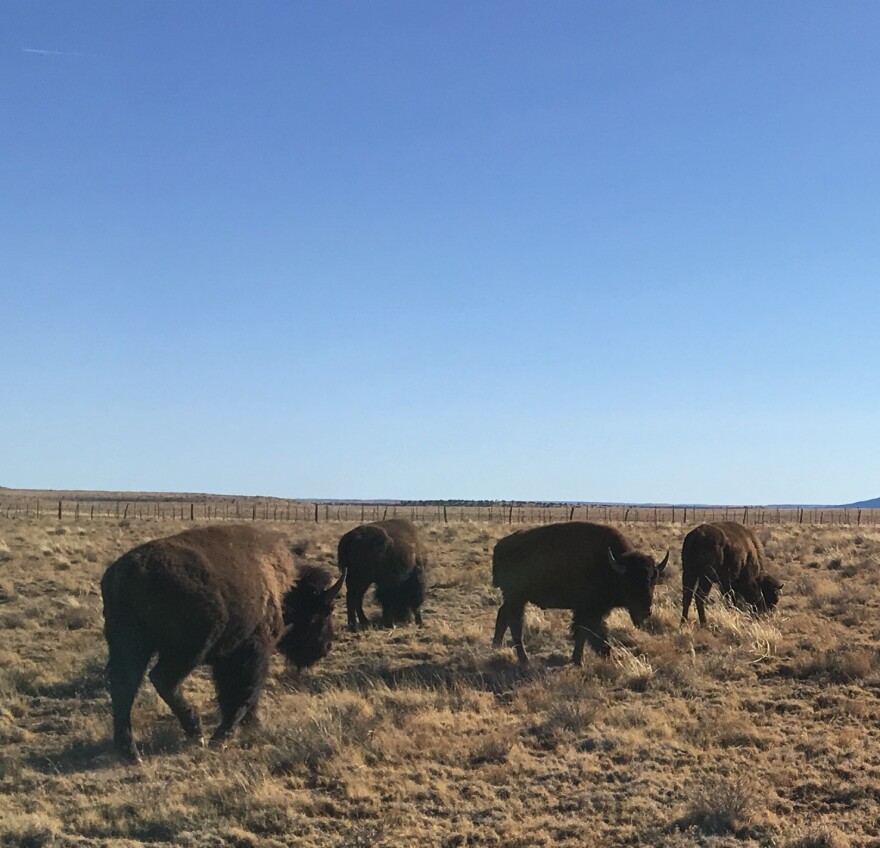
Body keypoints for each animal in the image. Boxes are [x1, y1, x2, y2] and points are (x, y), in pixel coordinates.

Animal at [98, 524, 342, 760]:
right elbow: (244, 693)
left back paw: (130, 751)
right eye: (325, 610)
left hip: (130, 646)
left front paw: (250, 725)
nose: (326, 647)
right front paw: (223, 735)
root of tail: (128, 574)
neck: (282, 586)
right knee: (161, 679)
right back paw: (196, 733)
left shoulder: (226, 658)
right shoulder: (253, 652)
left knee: (124, 687)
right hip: (186, 651)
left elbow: (230, 694)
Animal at [488, 524, 668, 664]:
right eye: (629, 584)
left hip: (514, 598)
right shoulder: (588, 611)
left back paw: (496, 647)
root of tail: (500, 546)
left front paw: (578, 660)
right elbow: (590, 633)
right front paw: (597, 656)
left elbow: (582, 634)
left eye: (653, 581)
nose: (645, 612)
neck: (611, 566)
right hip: (516, 597)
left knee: (503, 616)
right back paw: (524, 660)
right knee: (515, 624)